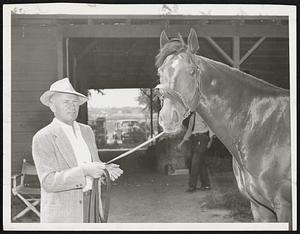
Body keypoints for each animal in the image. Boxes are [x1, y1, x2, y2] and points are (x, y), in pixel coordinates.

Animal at [156, 28, 292, 226]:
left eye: (192, 71)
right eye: (160, 72)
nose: (167, 118)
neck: (264, 127)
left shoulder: (284, 207)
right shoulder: (260, 208)